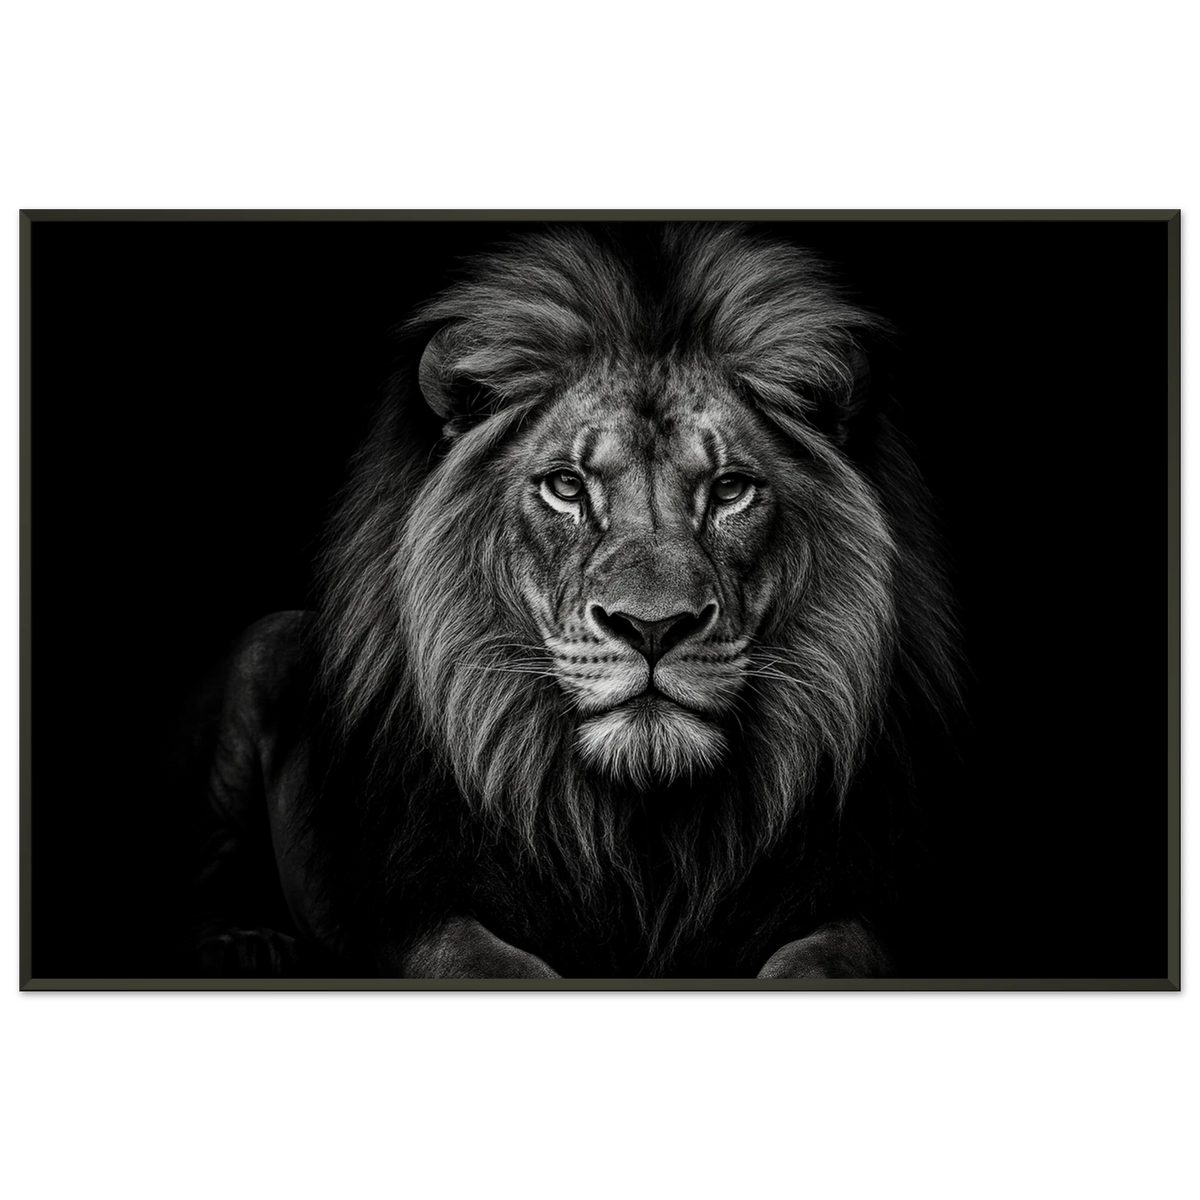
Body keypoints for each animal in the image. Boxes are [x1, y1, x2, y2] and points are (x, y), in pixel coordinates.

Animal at [187, 224, 962, 979]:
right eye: (566, 486)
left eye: (730, 489)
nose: (653, 628)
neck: (645, 830)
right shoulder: (425, 906)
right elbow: (485, 965)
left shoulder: (855, 898)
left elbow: (821, 962)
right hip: (264, 647)